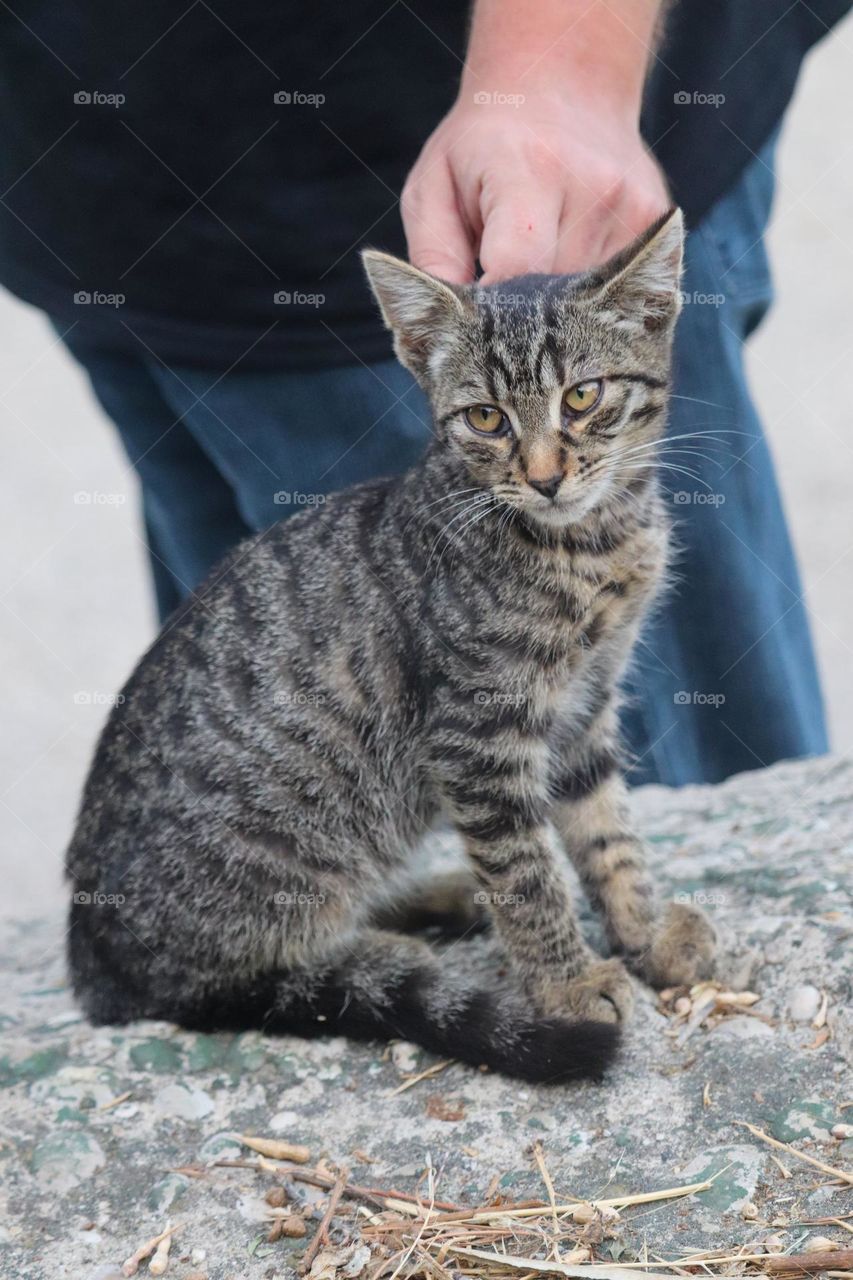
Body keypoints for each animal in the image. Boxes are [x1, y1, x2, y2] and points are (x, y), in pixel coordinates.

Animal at [68, 207, 712, 1080]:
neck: (590, 547)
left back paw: (437, 901)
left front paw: (643, 932)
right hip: (287, 864)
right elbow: (527, 872)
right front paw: (567, 984)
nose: (545, 476)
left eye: (583, 397)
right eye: (485, 418)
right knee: (273, 971)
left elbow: (606, 831)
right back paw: (388, 959)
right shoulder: (476, 738)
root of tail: (93, 965)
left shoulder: (584, 705)